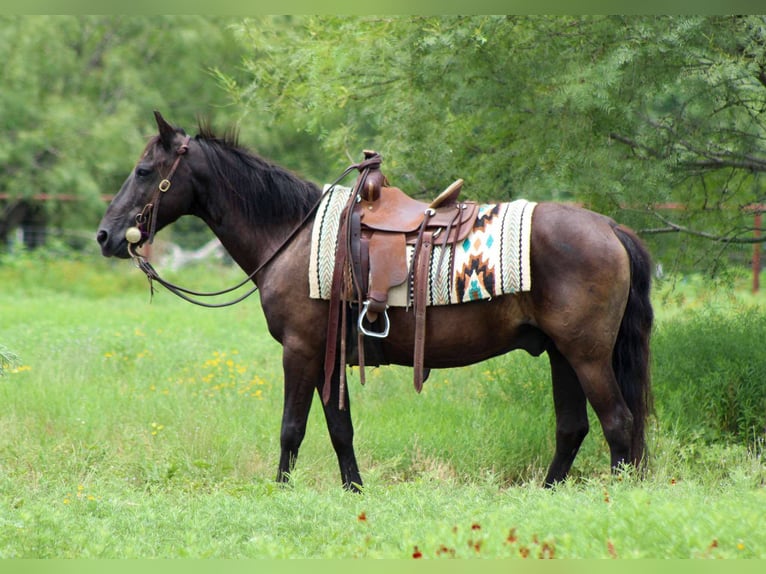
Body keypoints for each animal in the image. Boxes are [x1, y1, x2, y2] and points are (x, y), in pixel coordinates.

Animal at [97, 112, 653, 490]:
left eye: (144, 170)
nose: (105, 235)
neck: (293, 235)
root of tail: (610, 227)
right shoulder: (329, 356)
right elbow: (339, 429)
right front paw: (354, 491)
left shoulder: (300, 351)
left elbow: (291, 429)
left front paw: (280, 493)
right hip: (561, 354)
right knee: (573, 428)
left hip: (586, 355)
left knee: (618, 424)